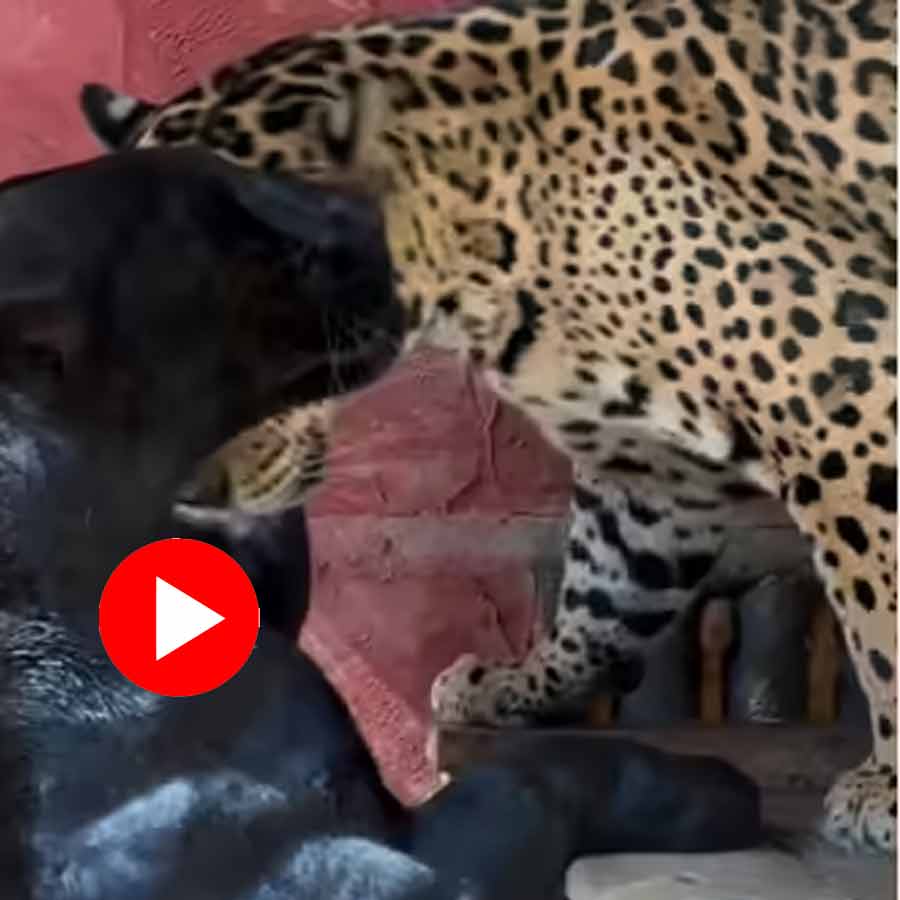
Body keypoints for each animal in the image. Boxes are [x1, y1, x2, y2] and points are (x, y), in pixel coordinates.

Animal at [78, 0, 897, 854]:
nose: (187, 490)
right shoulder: (652, 477)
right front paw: (515, 685)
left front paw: (885, 790)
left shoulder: (848, 393)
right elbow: (603, 596)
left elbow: (881, 616)